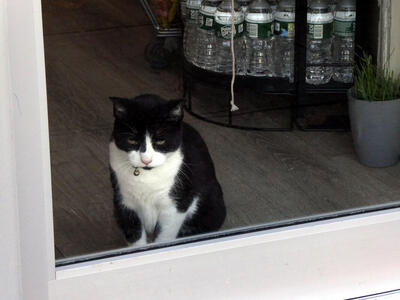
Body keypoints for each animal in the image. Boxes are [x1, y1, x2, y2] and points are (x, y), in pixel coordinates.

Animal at [109, 94, 227, 246]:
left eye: (161, 141)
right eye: (132, 140)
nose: (146, 159)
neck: (147, 176)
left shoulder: (174, 207)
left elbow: (164, 237)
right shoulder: (124, 202)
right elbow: (135, 236)